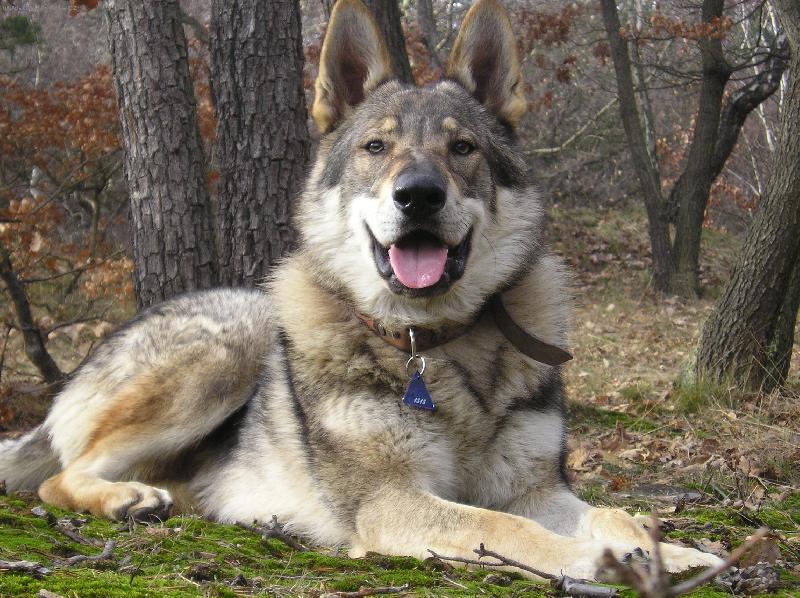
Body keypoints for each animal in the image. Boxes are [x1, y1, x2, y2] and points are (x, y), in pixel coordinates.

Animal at [0, 0, 722, 580]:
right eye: (377, 147)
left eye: (463, 149)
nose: (419, 195)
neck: (437, 346)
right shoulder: (390, 499)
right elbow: (499, 526)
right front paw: (590, 559)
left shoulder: (535, 488)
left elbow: (614, 511)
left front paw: (671, 552)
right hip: (226, 351)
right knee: (60, 477)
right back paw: (126, 498)